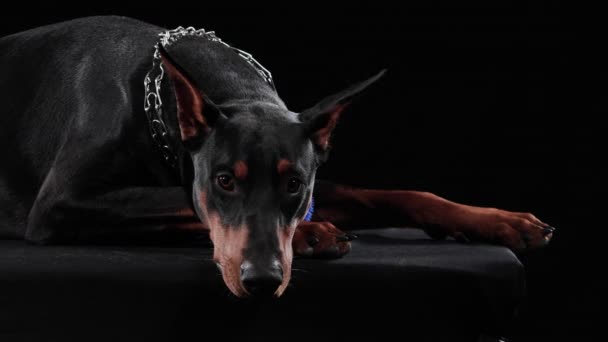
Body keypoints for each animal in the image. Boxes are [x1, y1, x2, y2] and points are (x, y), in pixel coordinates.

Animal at [0, 17, 552, 298]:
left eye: (293, 184)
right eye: (224, 181)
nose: (262, 280)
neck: (154, 91)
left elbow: (396, 192)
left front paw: (502, 221)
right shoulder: (61, 203)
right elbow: (184, 203)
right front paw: (314, 233)